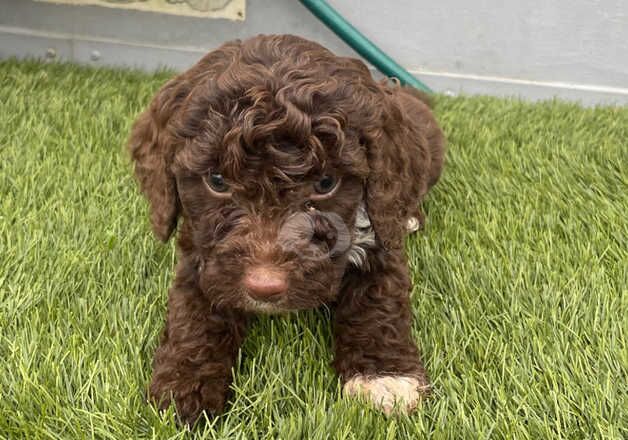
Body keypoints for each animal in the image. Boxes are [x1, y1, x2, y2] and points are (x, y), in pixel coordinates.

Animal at [127, 33, 444, 422]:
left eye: (326, 184)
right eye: (217, 180)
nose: (265, 287)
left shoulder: (380, 240)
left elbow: (378, 302)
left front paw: (384, 376)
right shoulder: (202, 254)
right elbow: (193, 313)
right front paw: (186, 382)